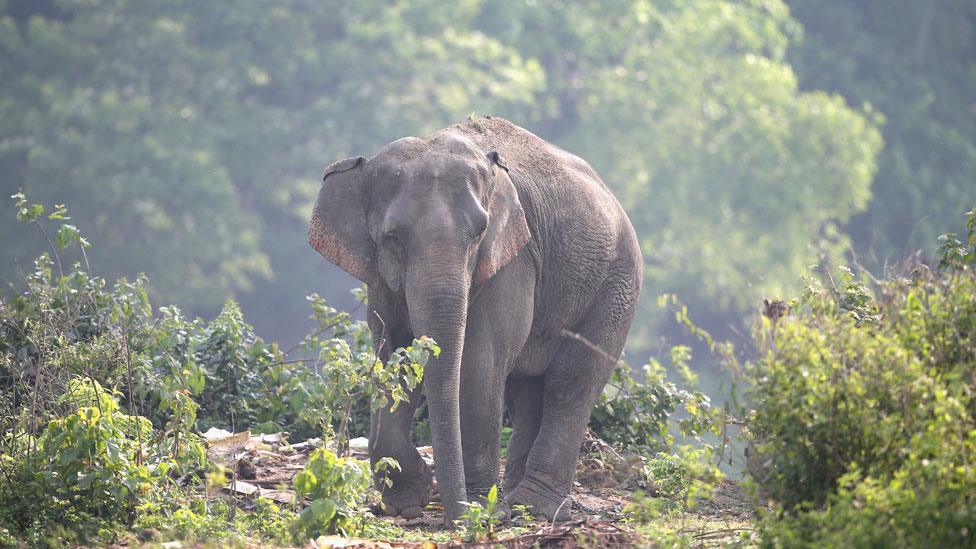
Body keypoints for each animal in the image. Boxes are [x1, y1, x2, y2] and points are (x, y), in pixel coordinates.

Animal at [310, 114, 640, 524]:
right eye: (392, 238)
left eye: (478, 233)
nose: (455, 517)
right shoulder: (379, 278)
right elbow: (392, 356)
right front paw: (407, 501)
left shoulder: (512, 259)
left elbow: (479, 361)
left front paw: (480, 505)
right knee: (526, 390)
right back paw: (515, 500)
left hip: (616, 289)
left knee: (569, 385)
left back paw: (533, 507)